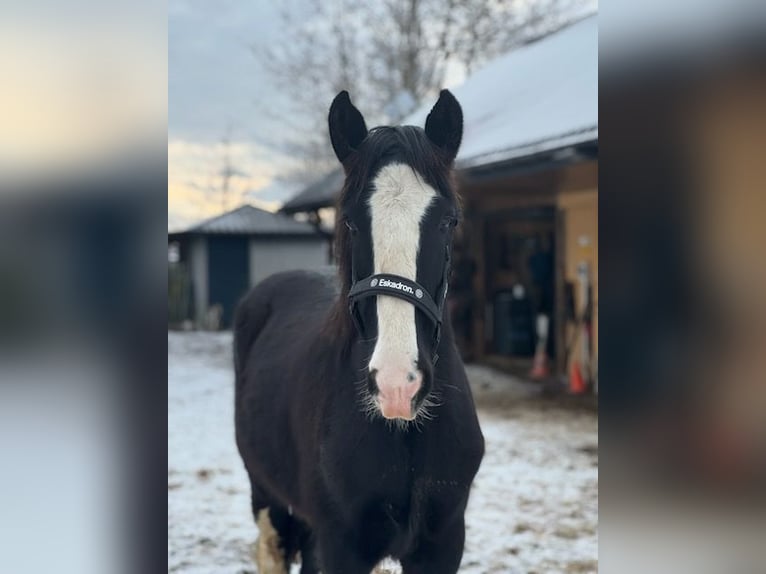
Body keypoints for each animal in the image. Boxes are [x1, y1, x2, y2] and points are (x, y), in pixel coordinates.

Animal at [234, 89, 484, 573]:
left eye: (449, 221)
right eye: (350, 221)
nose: (397, 384)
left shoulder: (443, 544)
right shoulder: (341, 545)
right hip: (266, 496)